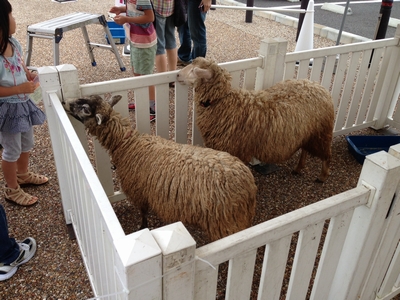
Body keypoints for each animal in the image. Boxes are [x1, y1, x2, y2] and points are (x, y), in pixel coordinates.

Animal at [62, 95, 256, 243]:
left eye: (85, 109)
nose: (64, 102)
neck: (127, 144)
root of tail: (248, 185)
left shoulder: (138, 191)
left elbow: (142, 212)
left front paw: (142, 227)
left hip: (225, 222)